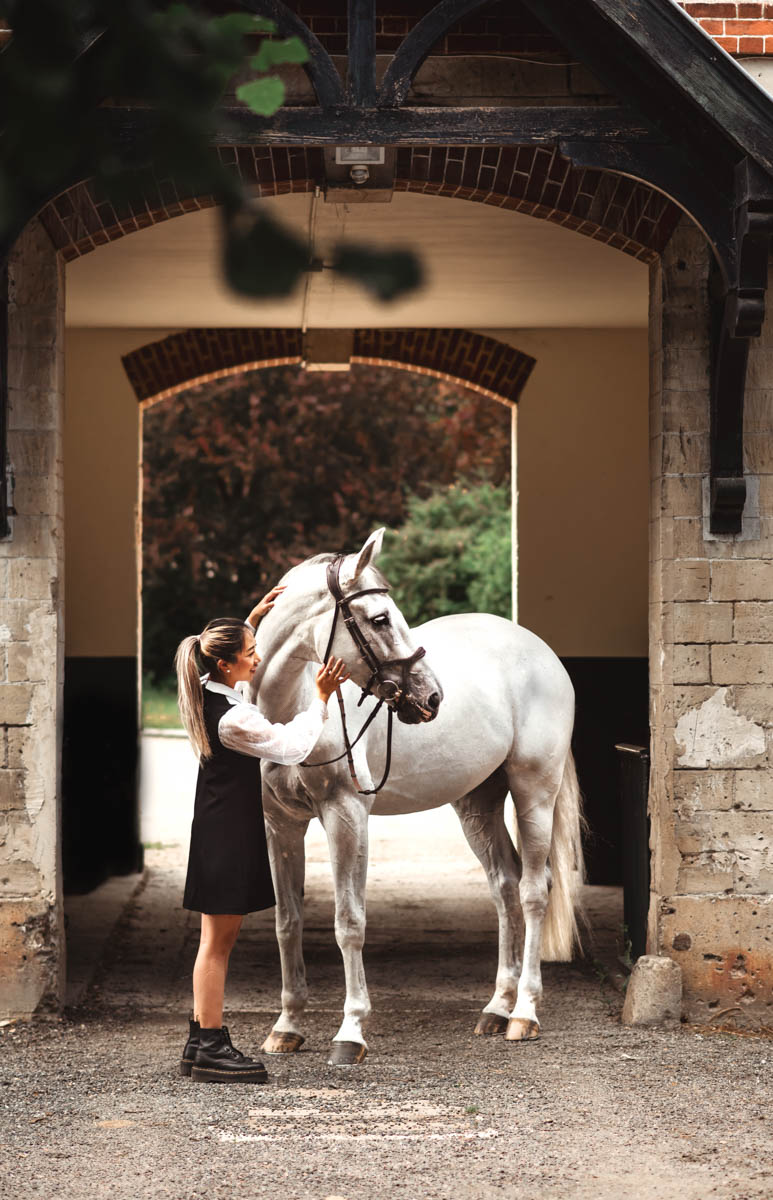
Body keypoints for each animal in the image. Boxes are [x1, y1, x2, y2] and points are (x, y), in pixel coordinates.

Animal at [250, 530, 583, 1065]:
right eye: (380, 619)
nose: (431, 698)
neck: (295, 710)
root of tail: (541, 653)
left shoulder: (346, 815)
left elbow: (349, 922)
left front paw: (351, 1032)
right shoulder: (280, 823)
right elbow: (288, 921)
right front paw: (287, 1026)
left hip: (535, 790)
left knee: (534, 890)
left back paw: (524, 1014)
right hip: (476, 805)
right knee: (505, 886)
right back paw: (496, 1007)